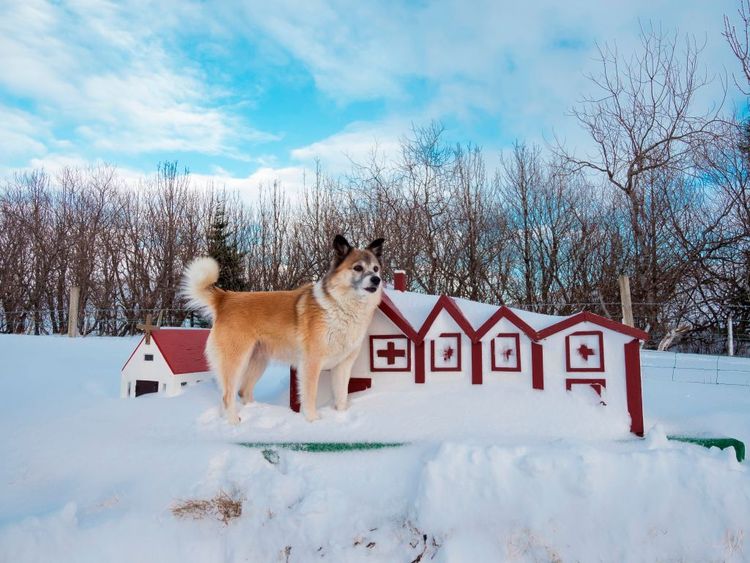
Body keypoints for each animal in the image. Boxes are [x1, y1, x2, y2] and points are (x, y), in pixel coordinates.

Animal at [181, 234, 382, 424]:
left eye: (376, 268)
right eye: (358, 268)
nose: (377, 279)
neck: (342, 306)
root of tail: (225, 299)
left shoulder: (343, 366)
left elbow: (341, 397)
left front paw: (341, 417)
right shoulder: (311, 364)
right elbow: (310, 396)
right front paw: (313, 421)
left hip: (258, 361)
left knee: (243, 392)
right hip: (235, 361)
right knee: (227, 396)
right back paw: (234, 423)